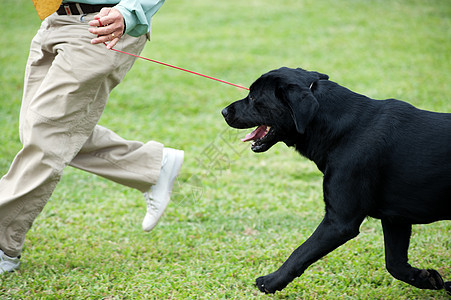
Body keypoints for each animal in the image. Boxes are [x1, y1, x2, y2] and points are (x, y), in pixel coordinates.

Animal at [222, 67, 451, 294]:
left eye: (253, 97)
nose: (224, 111)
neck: (339, 130)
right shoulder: (395, 218)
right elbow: (395, 264)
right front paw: (426, 279)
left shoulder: (339, 222)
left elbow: (300, 253)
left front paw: (270, 282)